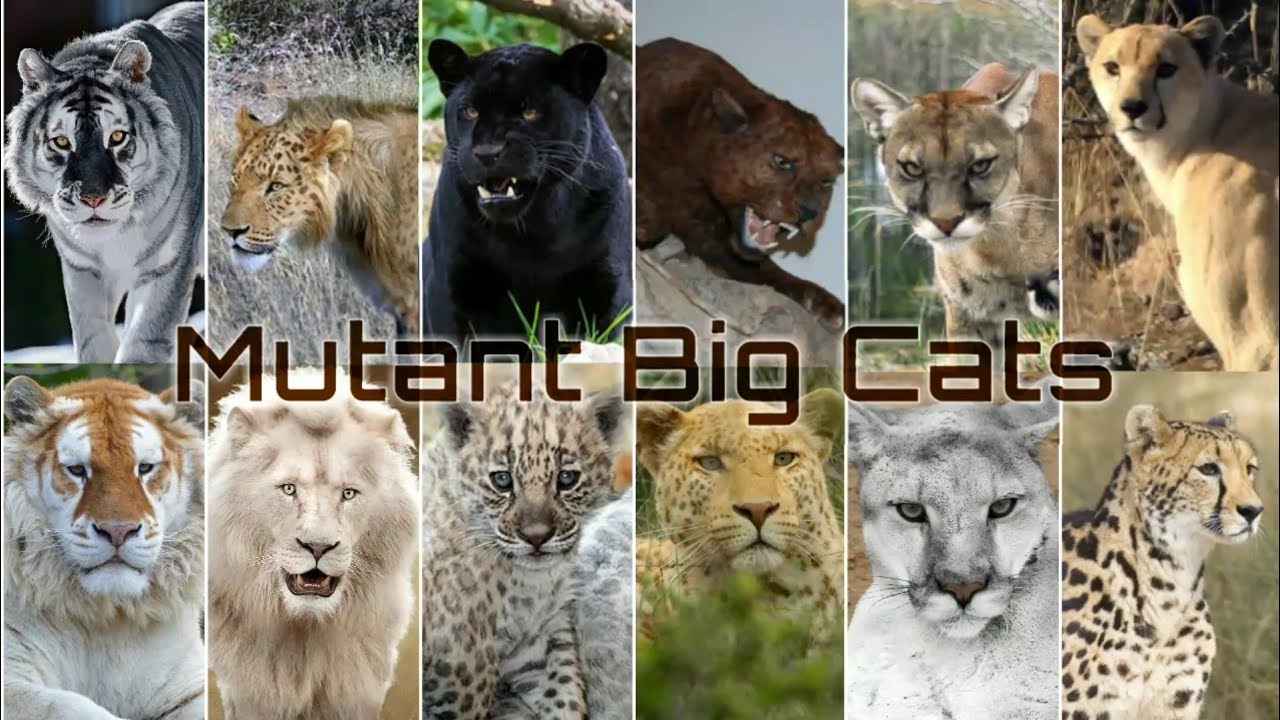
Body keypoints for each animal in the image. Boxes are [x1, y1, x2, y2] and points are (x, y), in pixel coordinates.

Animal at [2, 374, 206, 720]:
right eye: (77, 470)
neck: (104, 618)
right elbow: (71, 707)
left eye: (145, 468)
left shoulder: (188, 686)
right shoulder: (12, 680)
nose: (118, 531)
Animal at [3, 2, 204, 364]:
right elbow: (92, 341)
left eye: (118, 137)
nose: (93, 199)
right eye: (62, 142)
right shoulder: (82, 270)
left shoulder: (167, 266)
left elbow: (143, 346)